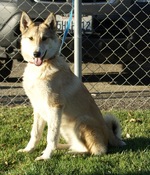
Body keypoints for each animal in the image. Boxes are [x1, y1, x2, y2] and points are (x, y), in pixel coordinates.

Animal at [17, 11, 125, 161]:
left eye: (44, 38)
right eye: (31, 38)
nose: (36, 53)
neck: (41, 68)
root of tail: (109, 135)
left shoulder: (55, 107)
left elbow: (51, 136)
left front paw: (46, 156)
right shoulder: (38, 108)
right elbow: (35, 133)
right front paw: (29, 150)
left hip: (80, 121)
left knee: (95, 150)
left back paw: (71, 153)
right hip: (65, 127)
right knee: (77, 145)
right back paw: (64, 148)